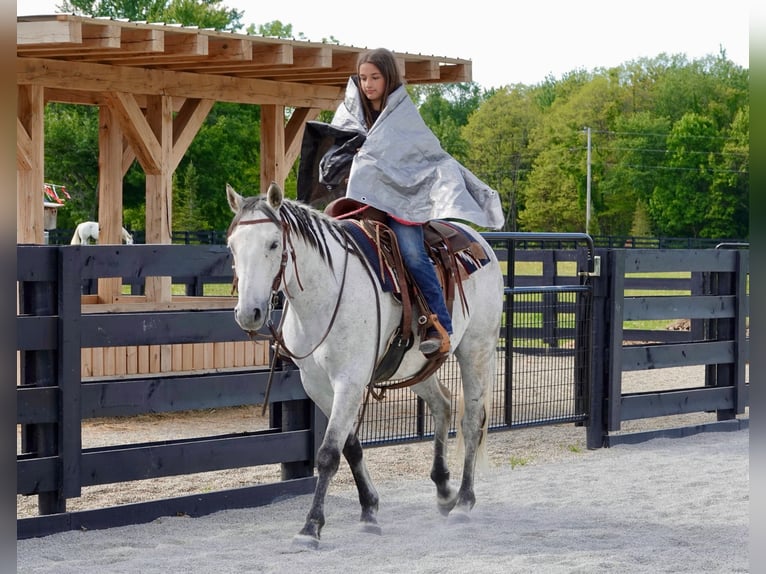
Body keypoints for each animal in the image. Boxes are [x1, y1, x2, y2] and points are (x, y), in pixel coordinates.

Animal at [226, 182, 504, 549]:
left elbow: (329, 452)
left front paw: (310, 527)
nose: (249, 314)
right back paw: (444, 491)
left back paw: (464, 502)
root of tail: (478, 241)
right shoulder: (316, 385)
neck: (325, 295)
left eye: (273, 243)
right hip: (416, 365)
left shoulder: (350, 381)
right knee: (442, 405)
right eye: (232, 246)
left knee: (472, 421)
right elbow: (351, 447)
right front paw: (369, 511)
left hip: (477, 349)